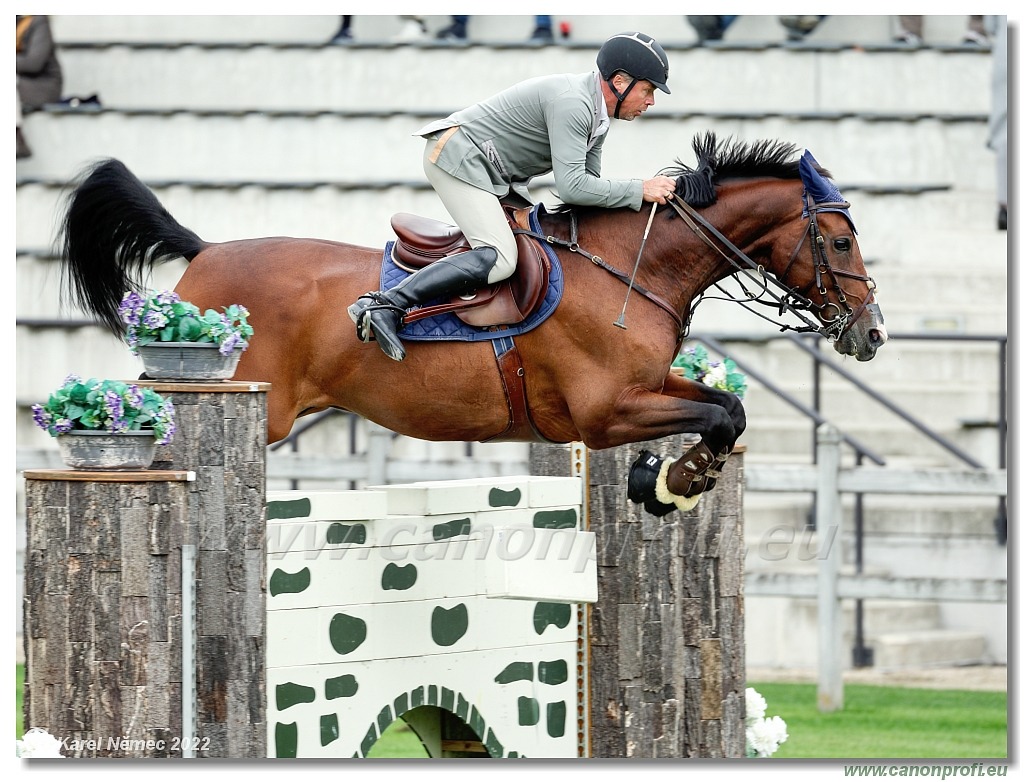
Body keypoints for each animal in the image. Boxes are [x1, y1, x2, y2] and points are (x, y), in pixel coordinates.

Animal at [58, 132, 888, 515]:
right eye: (840, 240)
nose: (870, 332)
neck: (633, 266)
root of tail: (204, 251)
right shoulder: (606, 413)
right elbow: (719, 414)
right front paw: (675, 480)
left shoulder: (648, 388)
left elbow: (727, 409)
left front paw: (670, 483)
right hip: (242, 401)